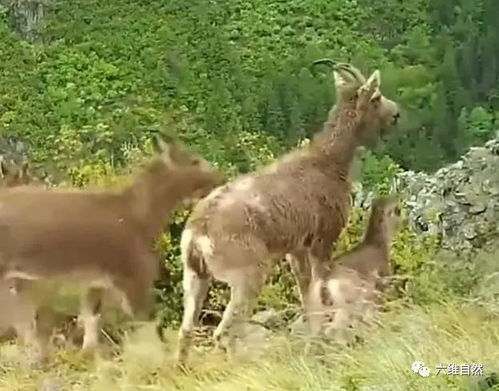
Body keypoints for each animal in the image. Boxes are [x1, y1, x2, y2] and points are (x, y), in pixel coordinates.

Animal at [0, 135, 224, 364]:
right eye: (195, 160)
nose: (221, 177)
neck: (143, 217)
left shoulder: (95, 281)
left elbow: (91, 319)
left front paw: (87, 358)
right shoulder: (132, 277)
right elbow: (151, 324)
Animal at [306, 196, 404, 344]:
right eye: (397, 210)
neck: (379, 245)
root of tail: (325, 279)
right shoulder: (378, 289)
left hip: (316, 309)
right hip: (347, 304)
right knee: (333, 331)